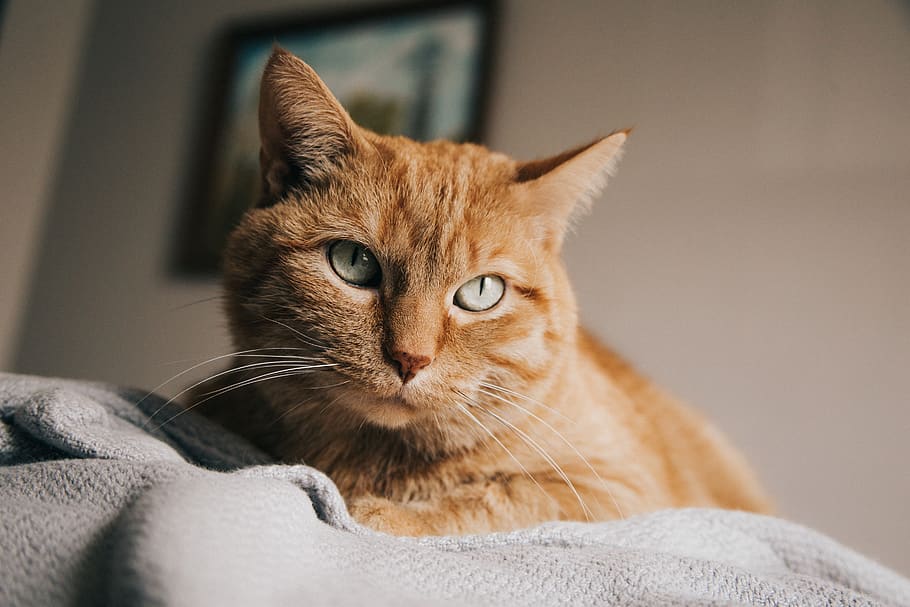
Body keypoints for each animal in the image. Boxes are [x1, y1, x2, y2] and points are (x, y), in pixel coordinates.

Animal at [196, 51, 772, 536]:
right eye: (354, 263)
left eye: (480, 291)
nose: (410, 358)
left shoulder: (614, 490)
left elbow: (501, 497)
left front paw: (384, 514)